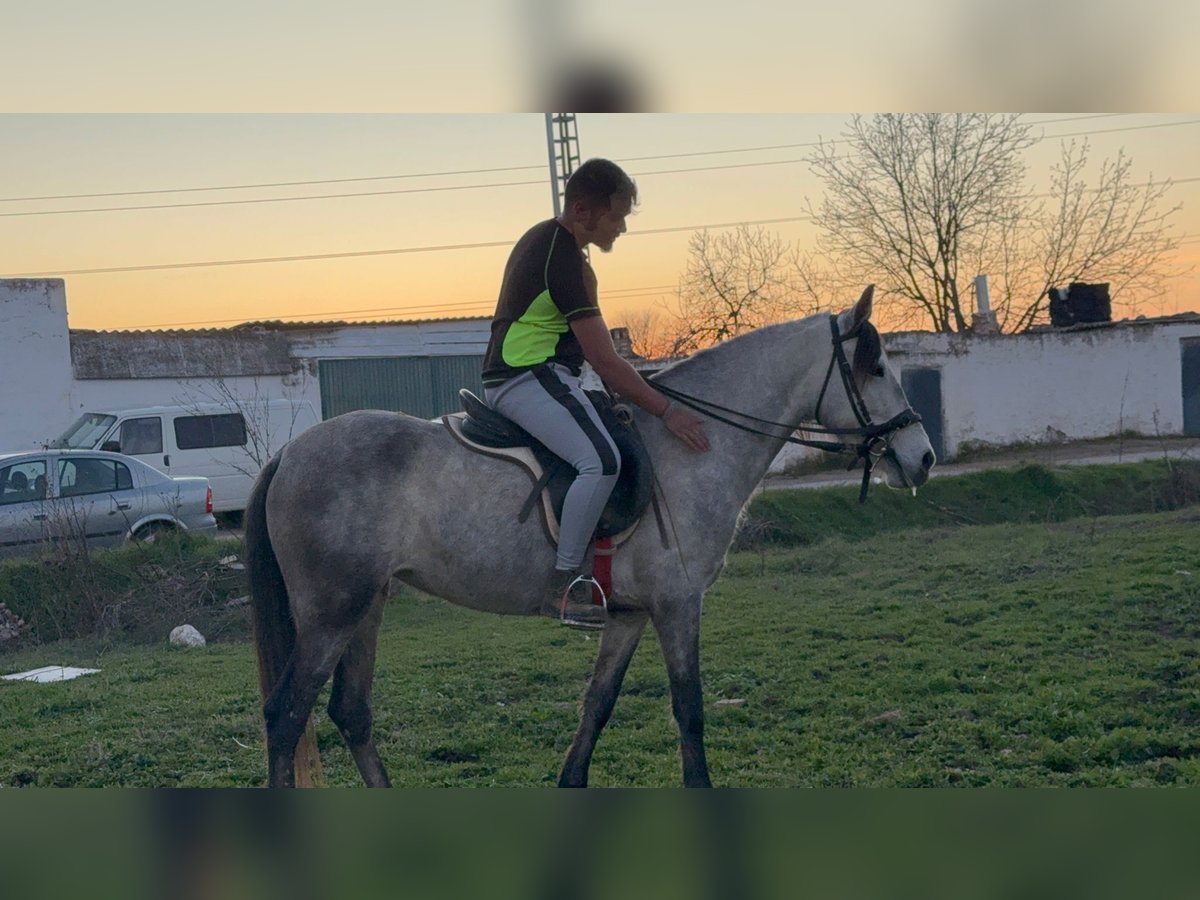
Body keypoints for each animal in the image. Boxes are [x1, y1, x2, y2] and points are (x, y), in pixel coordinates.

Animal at [246, 285, 936, 787]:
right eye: (876, 368)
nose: (922, 456)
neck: (690, 446)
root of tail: (288, 453)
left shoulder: (629, 614)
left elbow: (597, 705)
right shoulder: (678, 606)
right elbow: (689, 711)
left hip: (367, 605)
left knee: (349, 712)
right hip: (332, 612)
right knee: (286, 715)